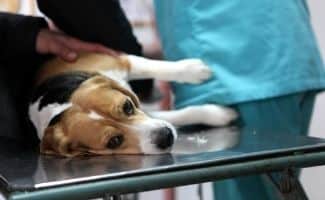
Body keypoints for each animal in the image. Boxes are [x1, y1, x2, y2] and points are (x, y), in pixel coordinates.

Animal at [29, 53, 237, 156]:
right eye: (114, 141)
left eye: (127, 106)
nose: (166, 136)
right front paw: (219, 114)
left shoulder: (117, 61)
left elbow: (152, 65)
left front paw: (193, 69)